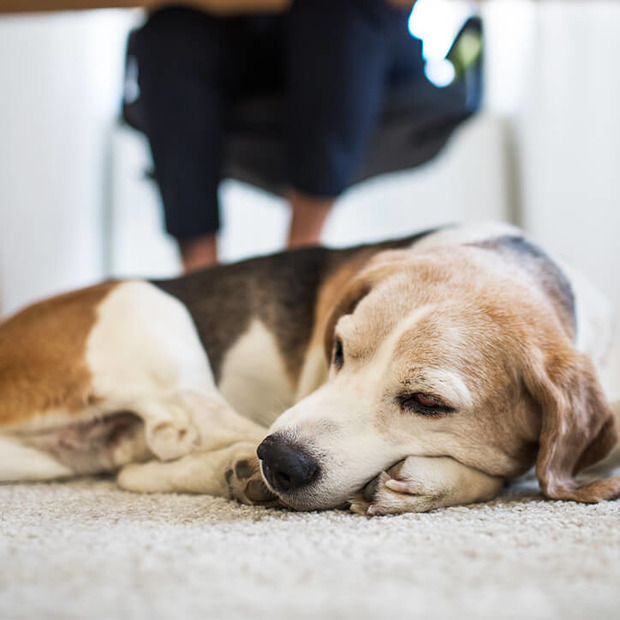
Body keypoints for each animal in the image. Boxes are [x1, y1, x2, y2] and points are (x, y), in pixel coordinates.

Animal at [1, 223, 620, 512]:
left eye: (427, 402)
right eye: (339, 350)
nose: (279, 461)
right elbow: (499, 474)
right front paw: (438, 480)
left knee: (141, 464)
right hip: (148, 304)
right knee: (183, 434)